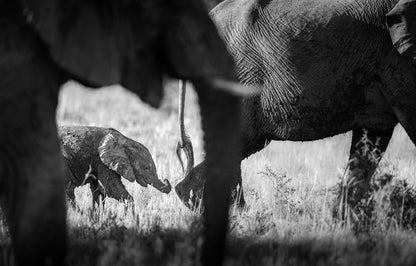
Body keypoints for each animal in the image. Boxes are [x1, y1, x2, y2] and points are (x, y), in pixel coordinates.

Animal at [0, 1, 254, 264]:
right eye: (146, 169)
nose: (167, 182)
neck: (123, 139)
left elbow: (100, 191)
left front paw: (98, 218)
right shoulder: (102, 160)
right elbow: (113, 190)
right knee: (65, 189)